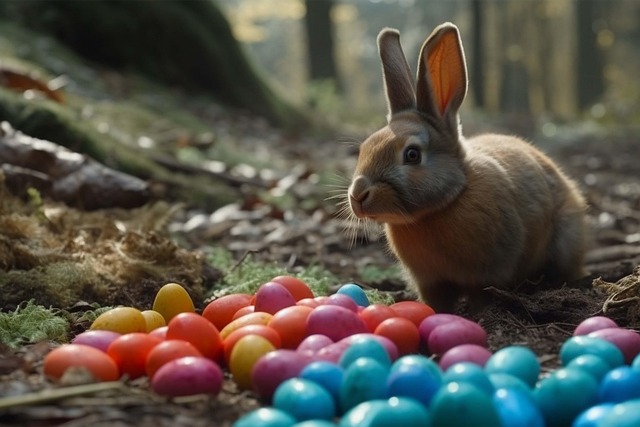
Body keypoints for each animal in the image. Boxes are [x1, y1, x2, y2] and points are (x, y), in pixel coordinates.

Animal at [347, 23, 588, 313]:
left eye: (412, 155)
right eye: (364, 148)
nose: (358, 195)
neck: (441, 207)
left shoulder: (489, 273)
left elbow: (480, 295)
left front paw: (476, 314)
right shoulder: (430, 282)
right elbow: (436, 301)